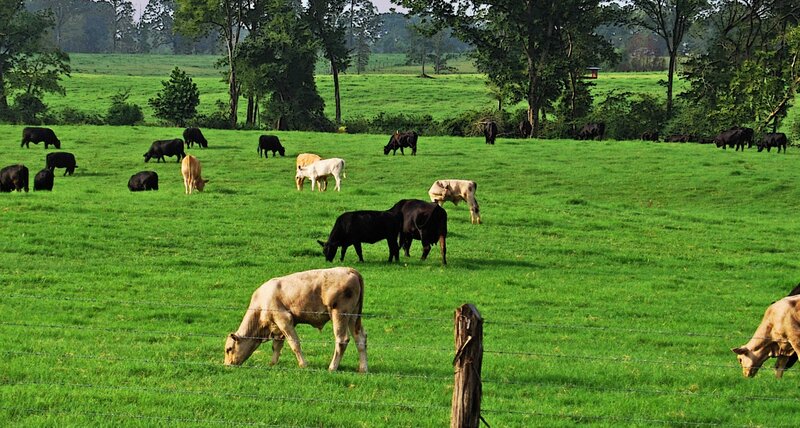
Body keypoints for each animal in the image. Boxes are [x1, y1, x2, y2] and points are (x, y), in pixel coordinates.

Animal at [224, 267, 368, 373]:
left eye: (229, 349)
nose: (227, 365)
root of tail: (349, 270)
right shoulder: (277, 327)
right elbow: (276, 346)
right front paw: (272, 363)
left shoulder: (284, 319)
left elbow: (294, 344)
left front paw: (303, 364)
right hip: (353, 317)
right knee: (360, 338)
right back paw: (363, 368)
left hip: (339, 314)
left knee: (342, 340)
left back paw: (332, 367)